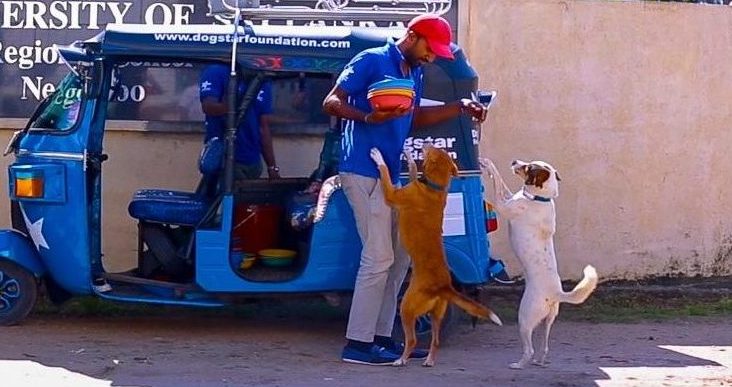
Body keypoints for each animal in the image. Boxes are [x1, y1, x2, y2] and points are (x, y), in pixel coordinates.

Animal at [368, 144, 500, 368]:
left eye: (433, 149)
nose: (425, 144)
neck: (434, 188)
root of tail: (444, 287)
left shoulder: (392, 195)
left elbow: (385, 172)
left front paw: (379, 158)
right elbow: (413, 170)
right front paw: (409, 156)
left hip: (406, 306)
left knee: (412, 339)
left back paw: (401, 360)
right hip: (437, 314)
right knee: (436, 340)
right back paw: (428, 360)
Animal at [480, 158, 596, 370]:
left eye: (528, 167)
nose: (514, 161)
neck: (539, 198)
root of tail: (556, 293)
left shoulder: (503, 205)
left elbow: (497, 182)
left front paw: (487, 164)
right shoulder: (510, 197)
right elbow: (503, 185)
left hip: (524, 319)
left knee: (530, 349)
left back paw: (519, 364)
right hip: (547, 322)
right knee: (544, 346)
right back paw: (540, 361)